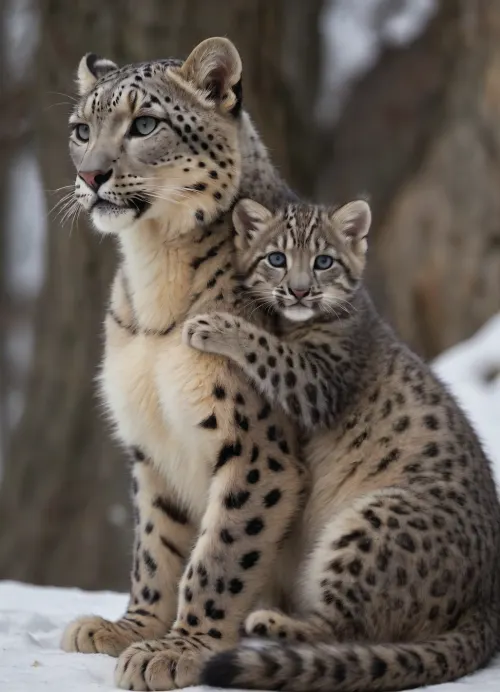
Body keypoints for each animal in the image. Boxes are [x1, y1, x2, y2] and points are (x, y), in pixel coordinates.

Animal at [59, 38, 310, 691]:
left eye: (145, 124)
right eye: (80, 129)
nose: (90, 174)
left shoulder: (255, 448)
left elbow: (220, 550)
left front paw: (179, 649)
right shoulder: (152, 442)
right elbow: (157, 544)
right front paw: (130, 628)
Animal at [184, 197, 500, 691]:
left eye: (324, 261)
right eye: (276, 258)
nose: (299, 292)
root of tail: (486, 598)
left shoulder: (320, 381)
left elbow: (273, 352)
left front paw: (214, 327)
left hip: (372, 524)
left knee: (346, 628)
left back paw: (269, 621)